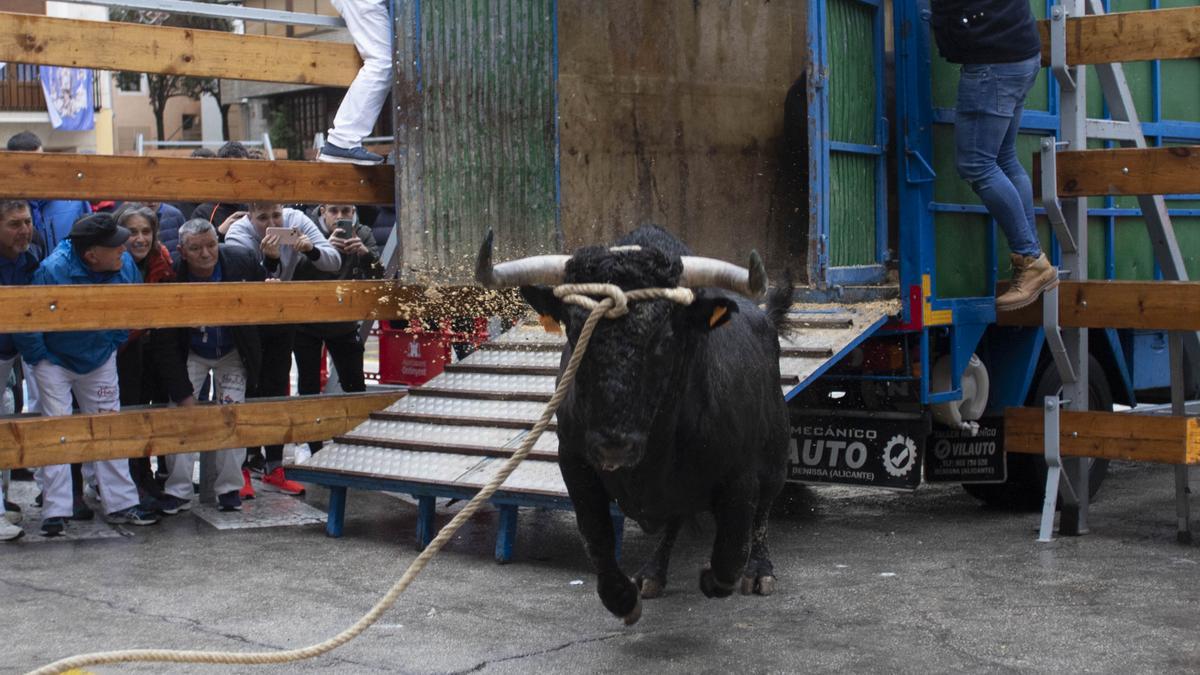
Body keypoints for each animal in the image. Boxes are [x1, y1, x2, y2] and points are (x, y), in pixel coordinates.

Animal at [472, 223, 792, 624]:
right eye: (574, 330)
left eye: (666, 335)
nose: (614, 445)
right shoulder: (575, 462)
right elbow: (597, 536)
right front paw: (623, 597)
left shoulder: (741, 473)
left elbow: (731, 552)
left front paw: (717, 577)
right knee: (674, 519)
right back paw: (653, 574)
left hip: (776, 454)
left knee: (763, 512)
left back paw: (760, 572)